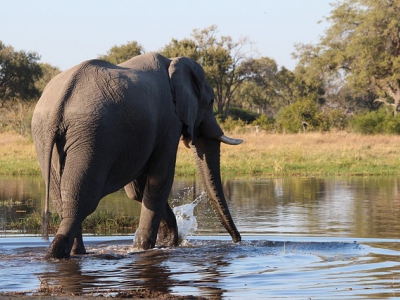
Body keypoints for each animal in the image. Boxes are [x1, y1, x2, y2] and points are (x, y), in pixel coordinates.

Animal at [31, 51, 242, 258]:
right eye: (211, 101)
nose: (237, 240)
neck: (173, 62)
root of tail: (61, 101)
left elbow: (138, 190)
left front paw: (166, 242)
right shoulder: (169, 122)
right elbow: (160, 180)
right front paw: (147, 247)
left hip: (47, 137)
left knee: (63, 201)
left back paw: (77, 253)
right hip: (91, 136)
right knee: (81, 202)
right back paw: (58, 253)